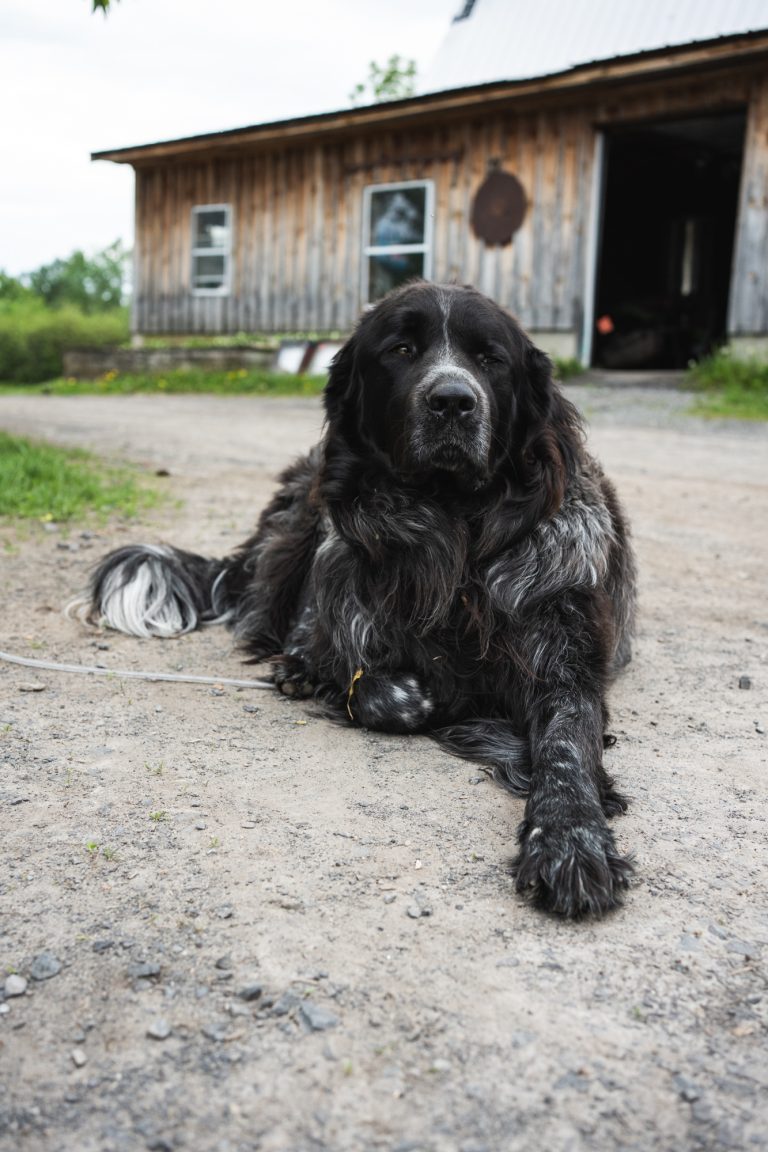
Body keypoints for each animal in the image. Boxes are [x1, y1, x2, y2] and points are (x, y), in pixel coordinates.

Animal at [85, 281, 635, 916]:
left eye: (490, 359)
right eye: (401, 350)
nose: (453, 401)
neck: (455, 538)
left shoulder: (564, 664)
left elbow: (566, 748)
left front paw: (570, 839)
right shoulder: (351, 622)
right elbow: (379, 689)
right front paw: (414, 696)